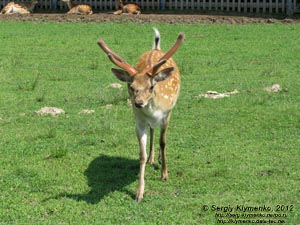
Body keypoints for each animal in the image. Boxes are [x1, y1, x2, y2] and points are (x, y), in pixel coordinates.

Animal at [97, 28, 184, 202]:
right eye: (131, 86)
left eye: (151, 87)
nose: (138, 103)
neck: (154, 110)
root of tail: (155, 48)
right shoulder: (139, 121)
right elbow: (141, 155)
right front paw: (139, 193)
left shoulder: (167, 114)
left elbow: (163, 142)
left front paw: (164, 174)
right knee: (152, 130)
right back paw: (152, 158)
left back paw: (158, 160)